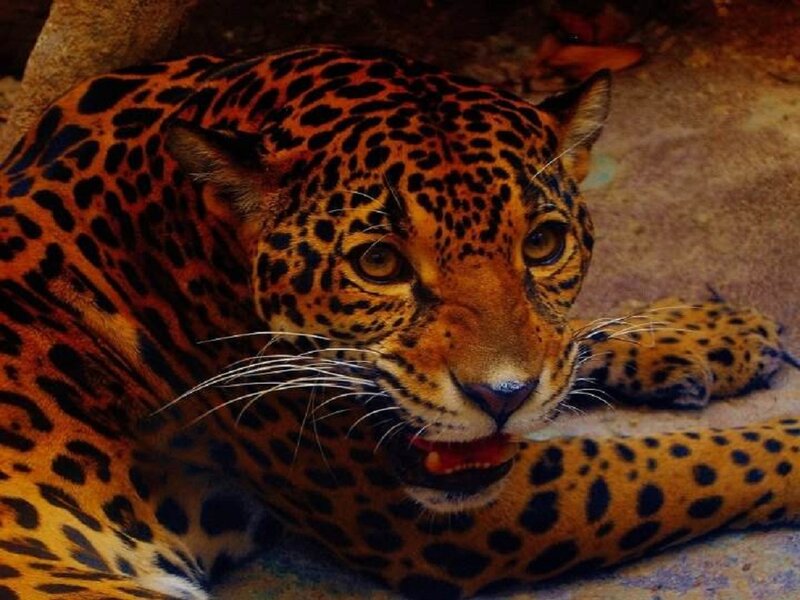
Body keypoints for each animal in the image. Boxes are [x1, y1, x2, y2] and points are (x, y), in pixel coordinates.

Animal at [0, 44, 798, 600]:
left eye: (543, 245)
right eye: (379, 262)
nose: (502, 400)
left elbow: (572, 343)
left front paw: (704, 331)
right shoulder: (434, 514)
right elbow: (684, 461)